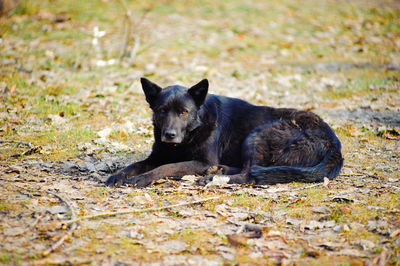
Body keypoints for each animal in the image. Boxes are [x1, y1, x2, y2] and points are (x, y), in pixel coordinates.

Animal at [106, 78, 344, 187]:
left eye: (184, 112)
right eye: (162, 110)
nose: (169, 134)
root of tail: (334, 144)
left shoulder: (202, 161)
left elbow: (166, 167)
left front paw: (141, 179)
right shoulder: (156, 156)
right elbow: (135, 165)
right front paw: (117, 176)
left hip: (257, 134)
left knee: (250, 174)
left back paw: (212, 178)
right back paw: (220, 171)